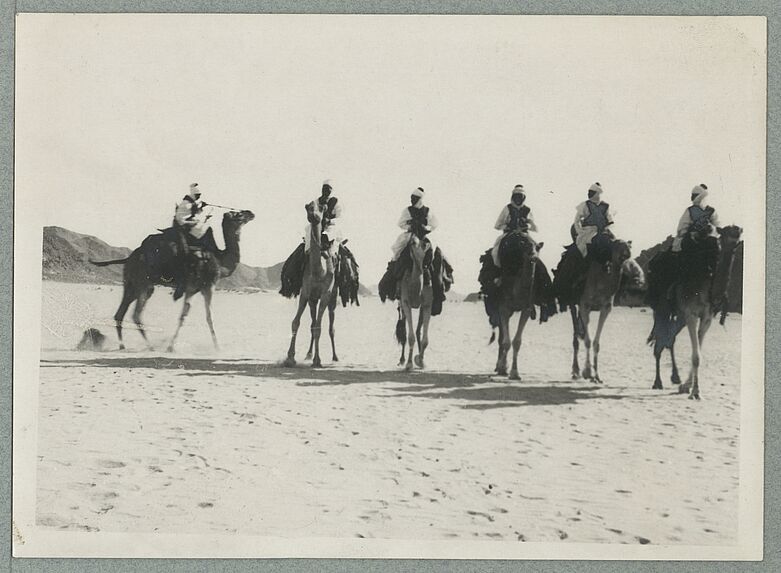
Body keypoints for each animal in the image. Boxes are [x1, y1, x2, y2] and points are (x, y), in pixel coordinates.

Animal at [91, 209, 254, 350]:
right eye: (238, 215)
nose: (250, 213)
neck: (220, 261)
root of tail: (128, 258)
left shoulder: (195, 289)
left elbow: (190, 316)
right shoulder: (205, 286)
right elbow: (203, 317)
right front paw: (216, 347)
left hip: (132, 284)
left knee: (120, 313)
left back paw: (122, 346)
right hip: (143, 283)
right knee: (136, 314)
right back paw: (149, 346)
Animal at [564, 239, 644, 382]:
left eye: (628, 245)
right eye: (616, 243)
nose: (626, 251)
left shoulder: (606, 307)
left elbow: (596, 342)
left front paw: (596, 376)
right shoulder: (585, 304)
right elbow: (588, 341)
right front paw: (587, 372)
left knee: (579, 329)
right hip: (572, 302)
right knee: (575, 335)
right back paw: (575, 371)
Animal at [644, 225, 744, 398]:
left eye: (737, 240)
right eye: (723, 237)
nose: (731, 247)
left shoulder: (707, 317)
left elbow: (699, 351)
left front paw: (686, 386)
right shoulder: (691, 314)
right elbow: (696, 356)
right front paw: (695, 392)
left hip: (679, 317)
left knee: (669, 339)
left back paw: (675, 377)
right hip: (662, 310)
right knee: (660, 339)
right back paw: (658, 382)